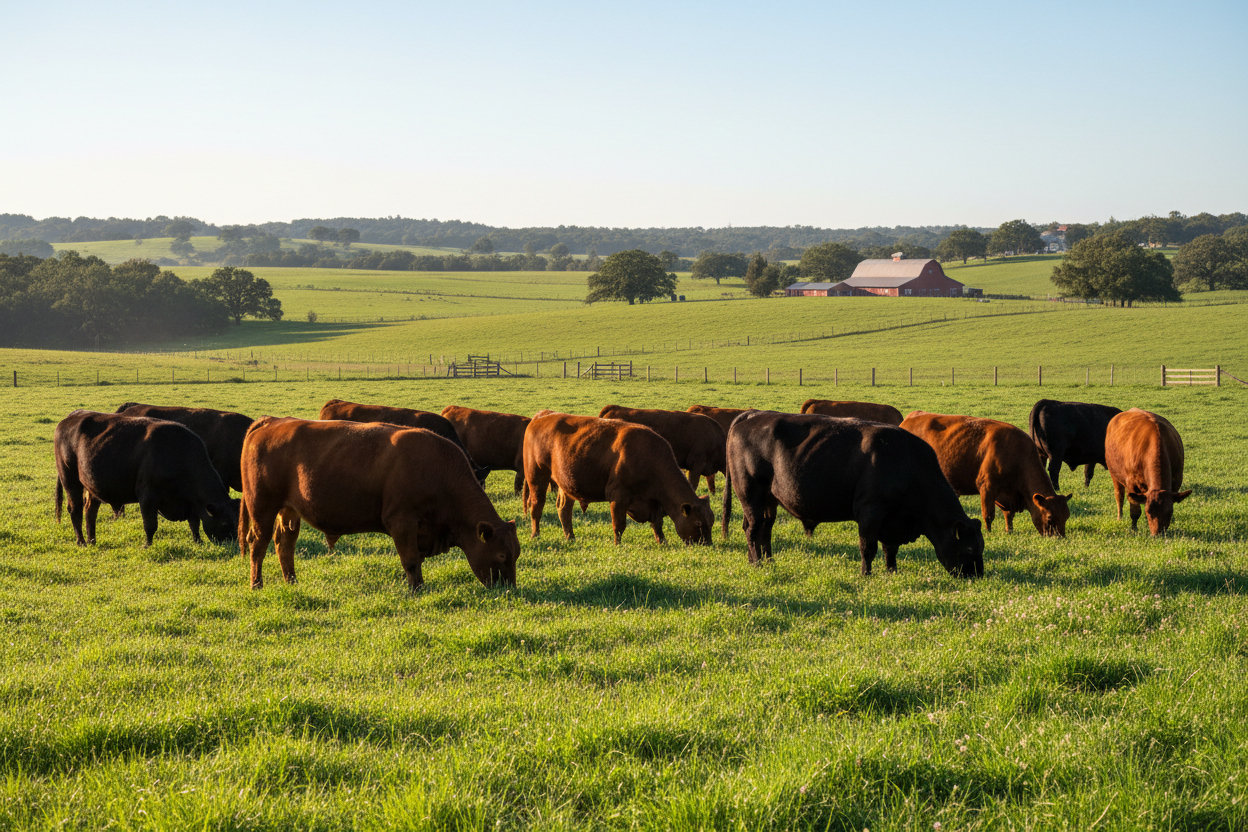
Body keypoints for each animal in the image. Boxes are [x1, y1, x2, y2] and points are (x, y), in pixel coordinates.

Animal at [54, 410, 238, 547]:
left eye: (239, 523)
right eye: (224, 523)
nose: (234, 544)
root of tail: (73, 415)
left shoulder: (191, 502)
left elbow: (195, 523)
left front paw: (198, 542)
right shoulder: (148, 496)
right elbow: (150, 525)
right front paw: (147, 545)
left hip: (92, 485)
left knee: (90, 510)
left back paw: (92, 540)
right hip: (70, 479)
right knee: (75, 509)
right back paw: (81, 541)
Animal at [238, 417, 519, 590]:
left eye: (516, 553)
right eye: (501, 555)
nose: (509, 590)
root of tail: (272, 421)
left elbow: (415, 561)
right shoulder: (402, 523)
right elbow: (411, 560)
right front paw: (417, 590)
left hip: (289, 512)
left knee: (284, 545)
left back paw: (292, 581)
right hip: (262, 509)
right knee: (258, 545)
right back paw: (257, 584)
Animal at [522, 413, 714, 545]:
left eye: (711, 521)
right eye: (698, 523)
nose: (707, 544)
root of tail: (541, 417)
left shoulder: (654, 503)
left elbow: (657, 524)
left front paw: (663, 542)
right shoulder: (618, 496)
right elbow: (619, 525)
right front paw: (618, 545)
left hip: (566, 484)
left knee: (564, 510)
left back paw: (570, 537)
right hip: (537, 476)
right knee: (536, 507)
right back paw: (535, 535)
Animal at [722, 411, 983, 576]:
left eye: (981, 547)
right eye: (970, 549)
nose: (978, 575)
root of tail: (752, 414)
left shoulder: (891, 520)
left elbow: (890, 549)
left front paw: (892, 572)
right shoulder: (870, 511)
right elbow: (868, 547)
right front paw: (866, 574)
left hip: (769, 500)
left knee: (764, 529)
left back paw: (767, 561)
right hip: (751, 495)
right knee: (753, 530)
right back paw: (758, 564)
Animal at [901, 411, 1071, 536]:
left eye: (1067, 516)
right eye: (1050, 518)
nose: (1059, 537)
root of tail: (911, 417)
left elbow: (1008, 515)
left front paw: (1009, 531)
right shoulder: (987, 488)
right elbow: (988, 515)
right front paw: (988, 533)